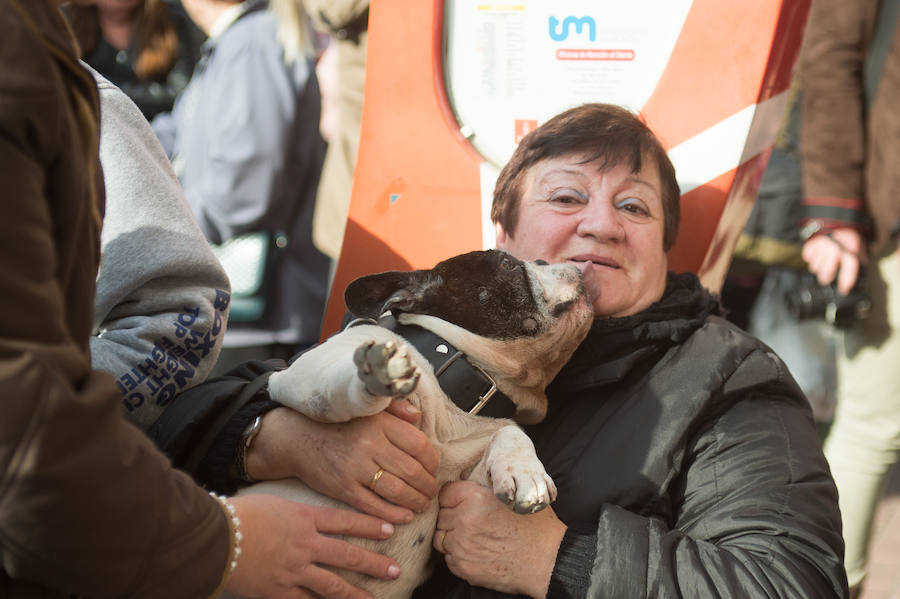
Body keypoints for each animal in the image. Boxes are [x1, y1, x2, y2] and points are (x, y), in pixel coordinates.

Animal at [236, 250, 596, 599]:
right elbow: (337, 386)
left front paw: (525, 474)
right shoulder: (302, 374)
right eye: (507, 263)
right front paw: (377, 372)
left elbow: (511, 431)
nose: (548, 260)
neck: (450, 398)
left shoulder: (465, 482)